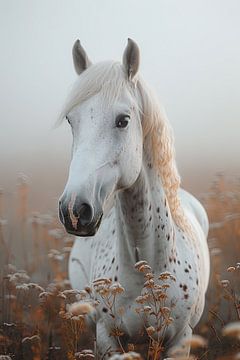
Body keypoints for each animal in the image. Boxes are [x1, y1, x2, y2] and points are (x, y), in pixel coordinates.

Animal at [58, 38, 210, 358]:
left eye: (123, 120)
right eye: (70, 120)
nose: (74, 210)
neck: (146, 269)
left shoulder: (181, 340)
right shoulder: (107, 338)